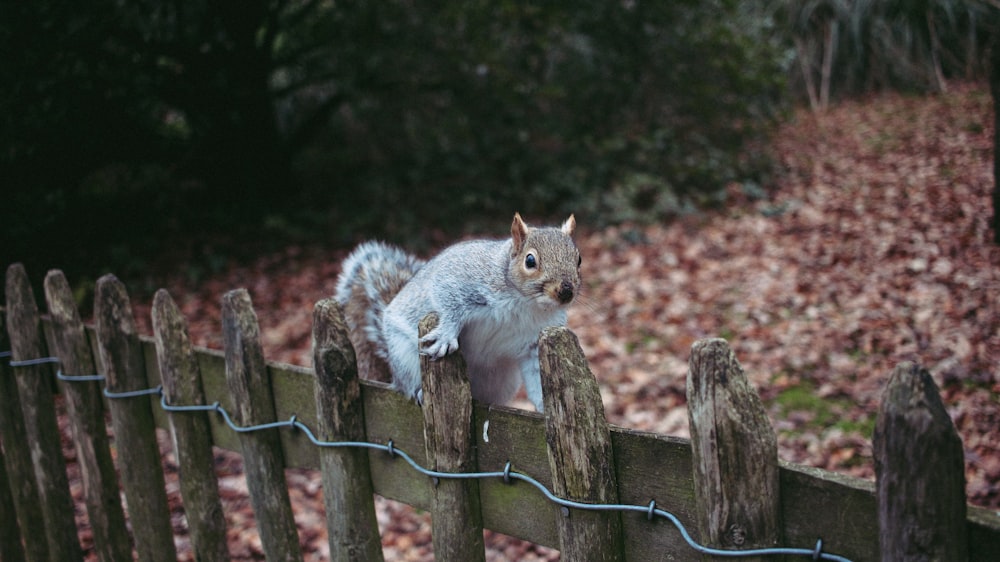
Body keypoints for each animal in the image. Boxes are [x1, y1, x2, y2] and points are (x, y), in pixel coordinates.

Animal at [336, 212, 580, 410]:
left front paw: (545, 407)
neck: (527, 303)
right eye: (530, 260)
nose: (566, 291)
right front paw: (446, 335)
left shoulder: (533, 343)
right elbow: (448, 299)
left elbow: (537, 375)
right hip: (404, 355)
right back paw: (418, 391)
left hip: (499, 380)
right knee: (406, 383)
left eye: (578, 258)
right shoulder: (462, 279)